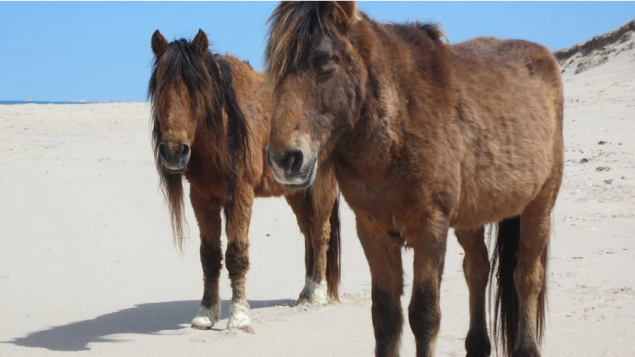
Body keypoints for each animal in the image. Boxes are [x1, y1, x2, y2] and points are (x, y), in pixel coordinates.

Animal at [147, 29, 342, 332]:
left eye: (197, 89)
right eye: (159, 87)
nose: (174, 152)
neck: (225, 125)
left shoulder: (240, 193)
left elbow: (236, 254)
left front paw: (238, 316)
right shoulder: (202, 197)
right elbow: (209, 256)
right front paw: (206, 313)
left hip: (321, 186)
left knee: (321, 232)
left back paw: (319, 293)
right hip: (296, 192)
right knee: (309, 230)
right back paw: (306, 292)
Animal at [266, 1, 564, 354]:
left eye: (327, 67)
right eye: (275, 71)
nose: (284, 160)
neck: (400, 122)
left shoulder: (430, 228)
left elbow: (423, 314)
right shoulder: (373, 232)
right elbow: (385, 316)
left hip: (539, 207)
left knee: (527, 276)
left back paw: (527, 347)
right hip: (470, 218)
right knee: (477, 269)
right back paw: (477, 345)